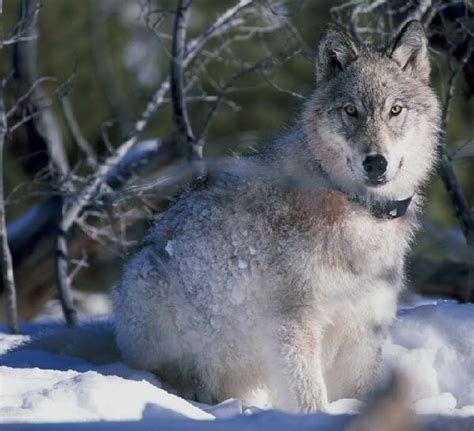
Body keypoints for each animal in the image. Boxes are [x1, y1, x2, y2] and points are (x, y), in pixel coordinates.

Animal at [113, 21, 438, 416]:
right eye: (351, 110)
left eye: (395, 110)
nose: (375, 162)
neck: (356, 208)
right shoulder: (293, 326)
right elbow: (310, 397)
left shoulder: (363, 328)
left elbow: (360, 393)